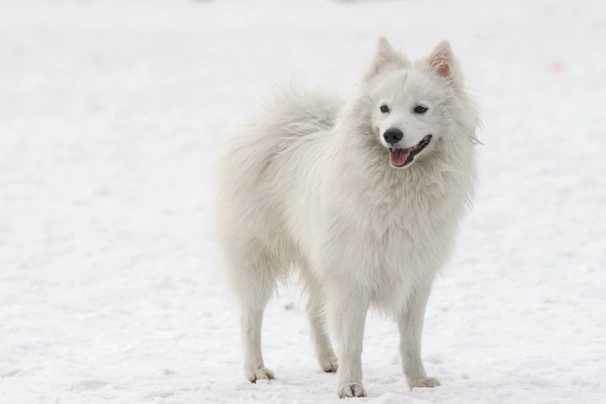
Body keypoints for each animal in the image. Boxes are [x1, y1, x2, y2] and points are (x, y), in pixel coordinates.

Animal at [216, 38, 482, 398]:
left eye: (420, 109)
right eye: (384, 109)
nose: (392, 135)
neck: (398, 187)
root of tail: (286, 129)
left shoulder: (416, 278)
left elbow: (411, 339)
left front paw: (418, 382)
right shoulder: (352, 277)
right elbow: (354, 341)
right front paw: (351, 385)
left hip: (316, 260)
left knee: (313, 310)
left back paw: (328, 360)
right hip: (257, 258)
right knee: (251, 316)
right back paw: (256, 370)